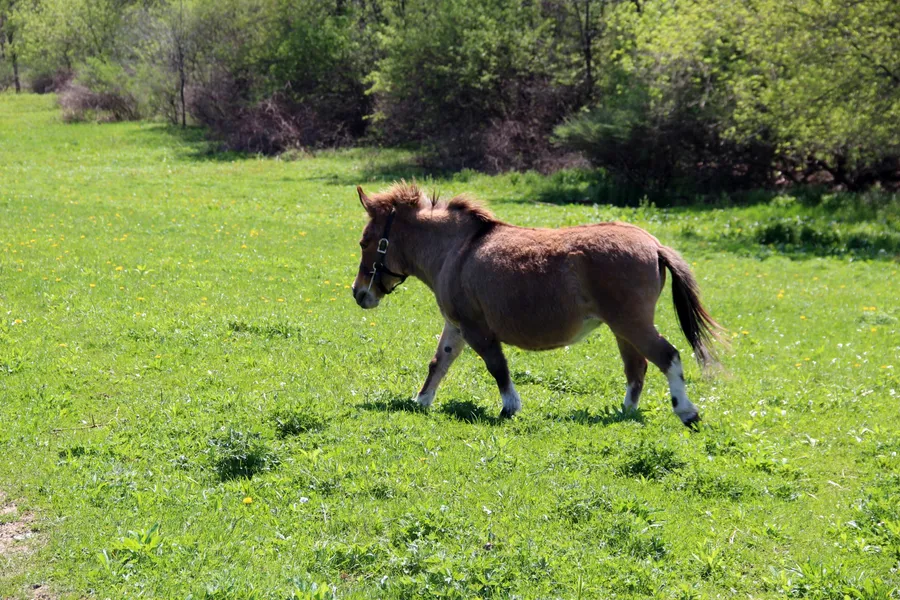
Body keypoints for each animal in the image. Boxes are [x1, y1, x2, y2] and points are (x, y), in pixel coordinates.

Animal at [350, 182, 724, 427]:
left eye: (365, 241)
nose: (358, 293)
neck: (455, 250)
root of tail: (654, 244)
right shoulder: (456, 325)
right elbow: (438, 363)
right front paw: (422, 400)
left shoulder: (475, 328)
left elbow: (497, 366)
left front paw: (510, 407)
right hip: (623, 329)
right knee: (637, 369)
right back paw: (626, 412)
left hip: (632, 323)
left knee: (667, 356)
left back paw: (686, 412)